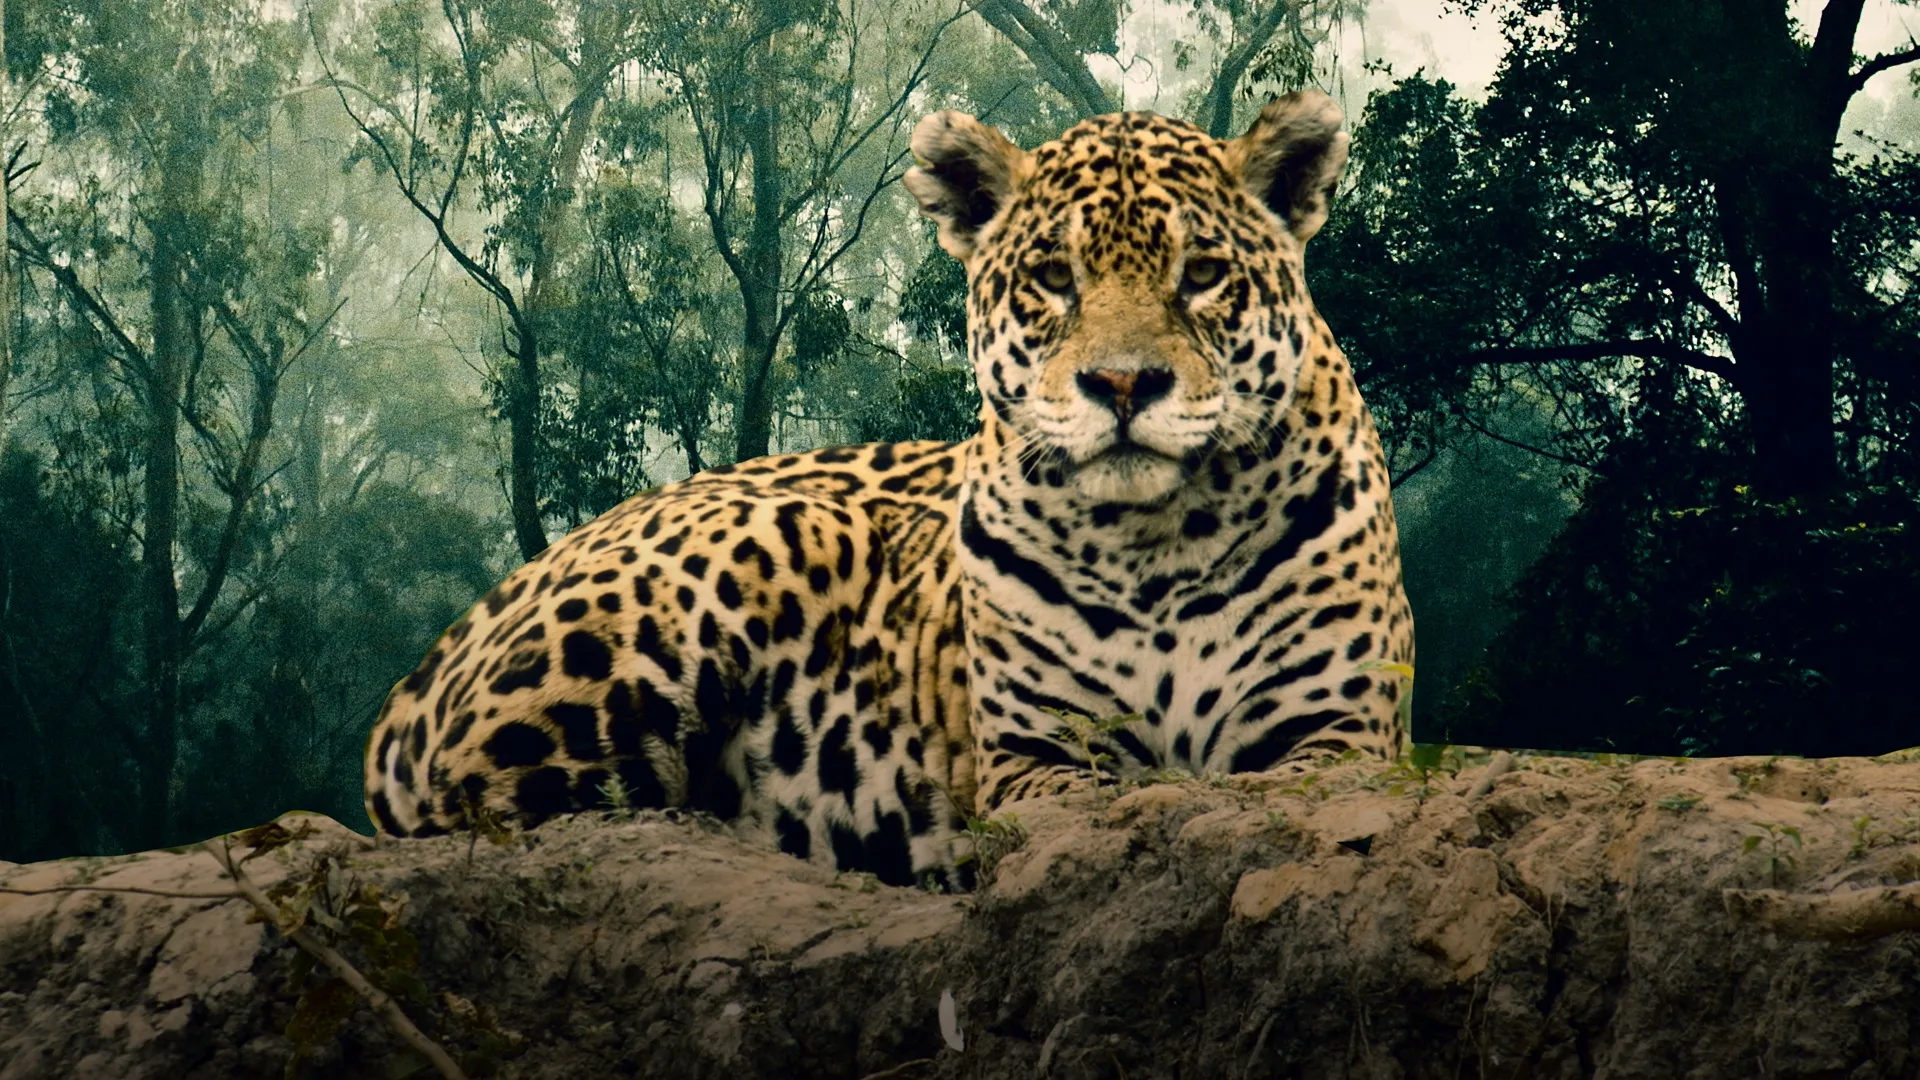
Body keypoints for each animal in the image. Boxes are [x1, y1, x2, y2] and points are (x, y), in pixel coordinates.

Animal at [364, 89, 1415, 890]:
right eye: (1051, 277)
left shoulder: (1343, 734)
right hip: (758, 547)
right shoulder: (1031, 758)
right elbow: (1098, 796)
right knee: (506, 812)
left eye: (1202, 274)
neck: (1153, 541)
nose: (1122, 385)